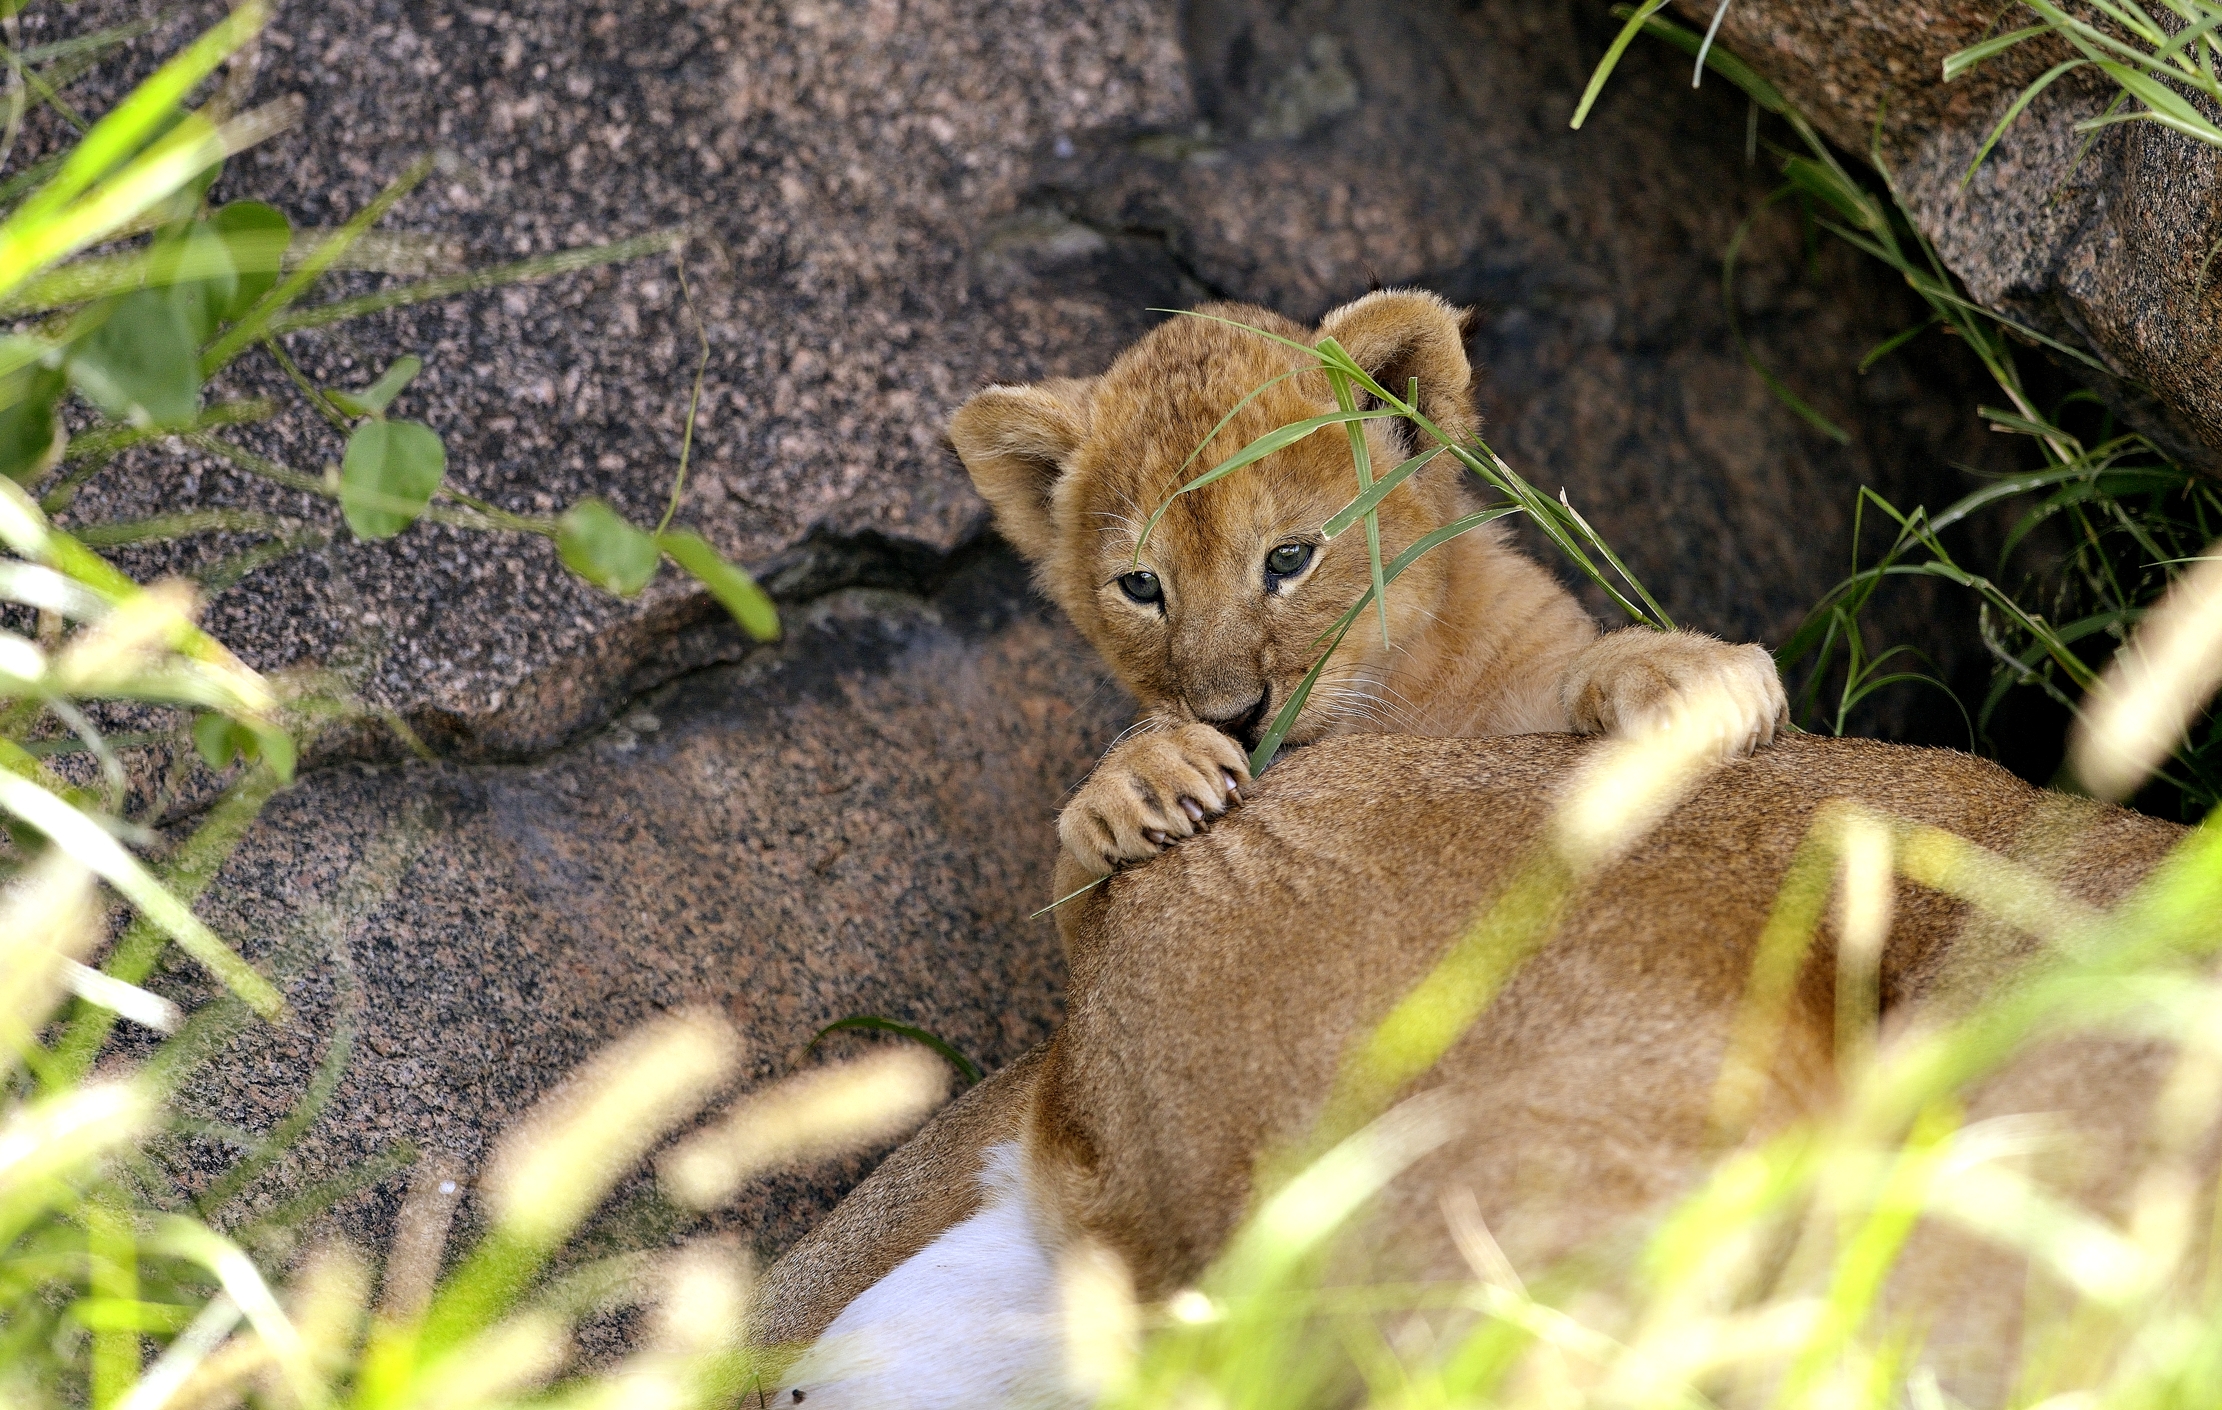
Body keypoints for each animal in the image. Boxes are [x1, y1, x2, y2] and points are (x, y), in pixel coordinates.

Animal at [948, 290, 1790, 876]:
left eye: (1289, 560)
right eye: (1142, 588)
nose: (1233, 720)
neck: (1398, 692)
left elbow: (1581, 671)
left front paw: (1691, 674)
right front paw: (1143, 777)